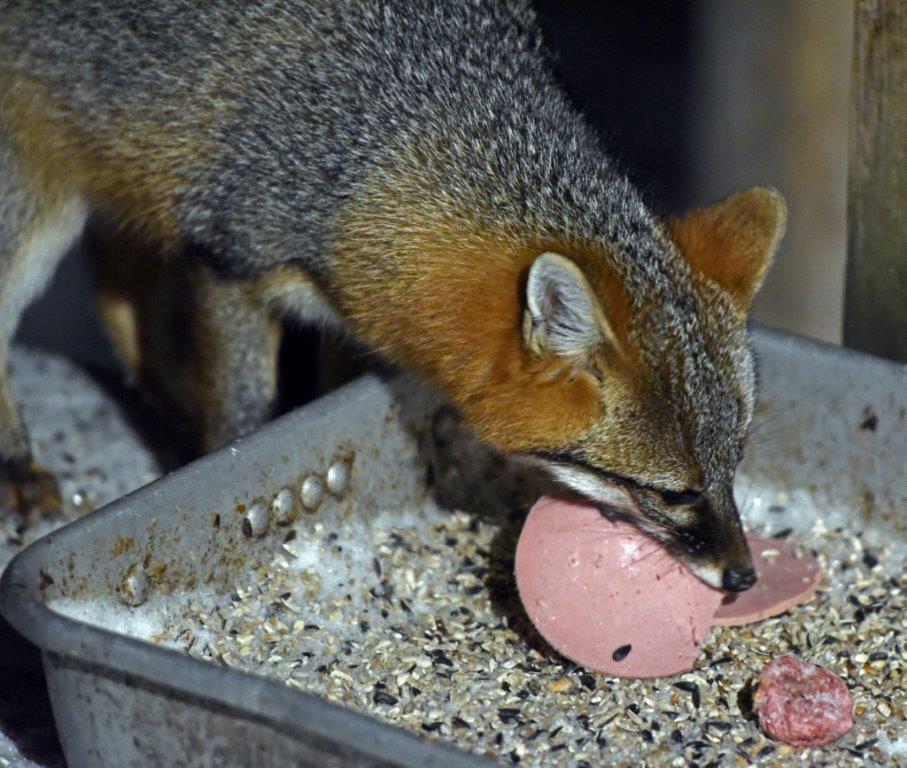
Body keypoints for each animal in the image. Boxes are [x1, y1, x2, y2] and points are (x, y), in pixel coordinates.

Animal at [0, 0, 785, 592]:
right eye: (673, 492)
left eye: (735, 461)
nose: (744, 576)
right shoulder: (230, 262)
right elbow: (242, 416)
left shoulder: (340, 312)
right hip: (34, 209)